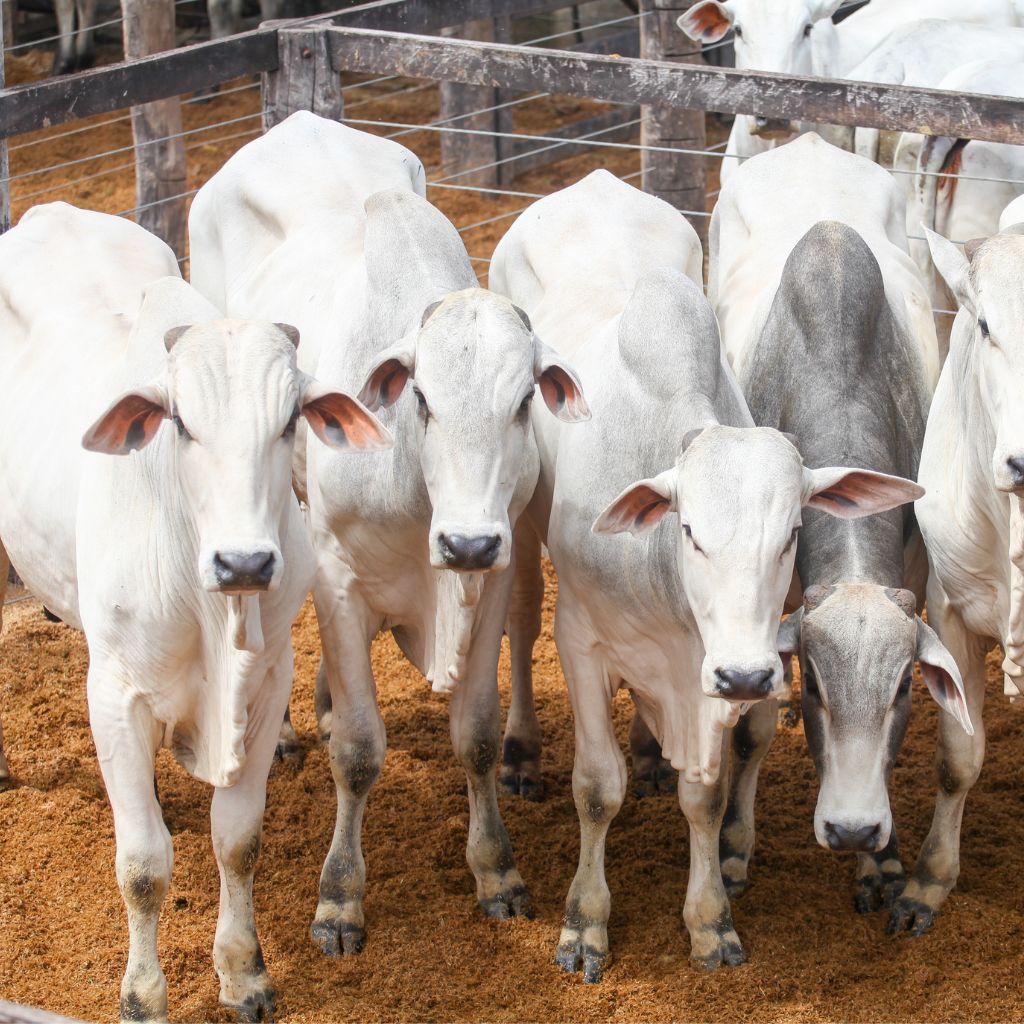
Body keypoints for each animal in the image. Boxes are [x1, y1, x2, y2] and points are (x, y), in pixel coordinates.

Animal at [0, 201, 390, 1022]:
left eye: (290, 422)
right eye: (180, 422)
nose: (244, 563)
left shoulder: (267, 683)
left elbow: (237, 840)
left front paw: (243, 973)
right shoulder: (114, 694)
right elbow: (144, 865)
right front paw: (143, 995)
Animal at [188, 111, 589, 954]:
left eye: (522, 403)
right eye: (424, 400)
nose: (466, 542)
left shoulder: (488, 580)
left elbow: (475, 732)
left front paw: (496, 870)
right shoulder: (340, 581)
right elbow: (359, 750)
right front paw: (340, 897)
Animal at [489, 168, 925, 977]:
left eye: (791, 534)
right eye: (689, 531)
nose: (748, 675)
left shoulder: (711, 671)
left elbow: (706, 794)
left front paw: (710, 920)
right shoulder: (583, 642)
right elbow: (596, 789)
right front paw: (585, 922)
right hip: (524, 524)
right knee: (520, 620)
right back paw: (520, 755)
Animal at [708, 135, 972, 914]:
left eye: (904, 689)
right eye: (820, 689)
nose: (852, 829)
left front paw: (881, 867)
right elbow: (754, 728)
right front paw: (734, 849)